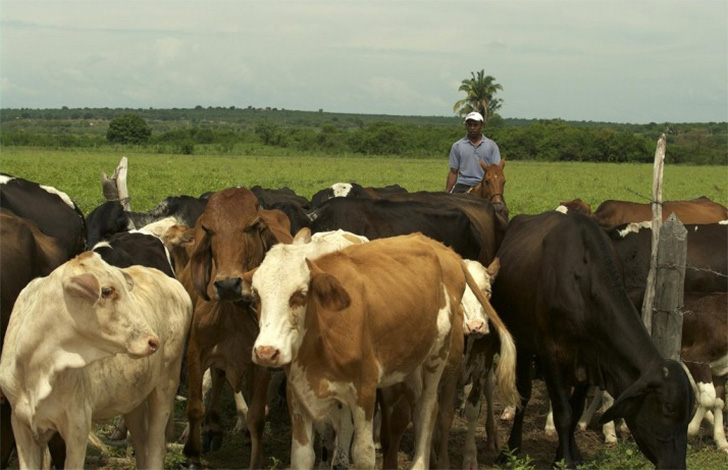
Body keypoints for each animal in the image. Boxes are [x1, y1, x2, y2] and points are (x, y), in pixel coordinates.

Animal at [0, 253, 192, 470]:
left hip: (166, 385)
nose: (152, 341)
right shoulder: (20, 423)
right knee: (140, 443)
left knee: (156, 446)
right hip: (133, 398)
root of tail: (171, 281)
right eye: (106, 291)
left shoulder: (78, 425)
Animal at [179, 185, 292, 468]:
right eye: (208, 229)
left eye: (252, 226)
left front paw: (255, 460)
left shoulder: (261, 362)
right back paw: (212, 428)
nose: (228, 284)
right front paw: (192, 453)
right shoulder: (197, 351)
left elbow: (256, 416)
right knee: (217, 379)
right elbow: (195, 406)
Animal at [249, 233, 516, 468]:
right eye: (255, 295)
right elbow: (303, 458)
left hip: (437, 358)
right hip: (410, 364)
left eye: (301, 294)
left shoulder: (364, 393)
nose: (266, 351)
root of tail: (443, 249)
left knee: (428, 411)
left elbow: (363, 454)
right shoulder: (298, 396)